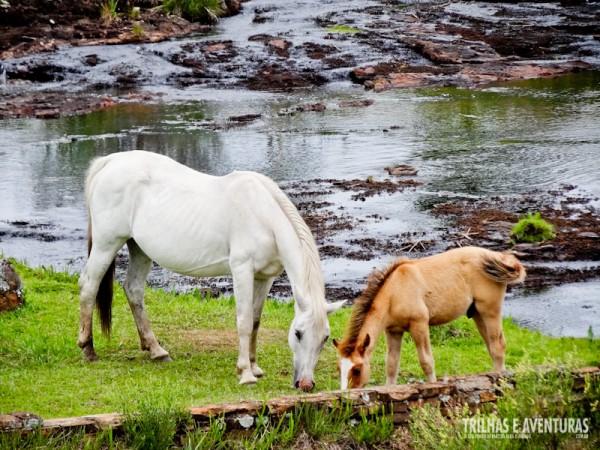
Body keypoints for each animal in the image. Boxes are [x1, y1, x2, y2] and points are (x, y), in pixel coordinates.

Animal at [77, 151, 344, 390]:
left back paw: (156, 350)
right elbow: (244, 322)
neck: (263, 216)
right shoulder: (242, 271)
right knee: (89, 286)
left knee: (133, 290)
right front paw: (246, 374)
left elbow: (256, 321)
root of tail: (110, 161)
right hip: (106, 244)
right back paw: (88, 349)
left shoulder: (264, 278)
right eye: (298, 333)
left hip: (140, 249)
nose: (306, 384)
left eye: (325, 338)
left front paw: (255, 367)